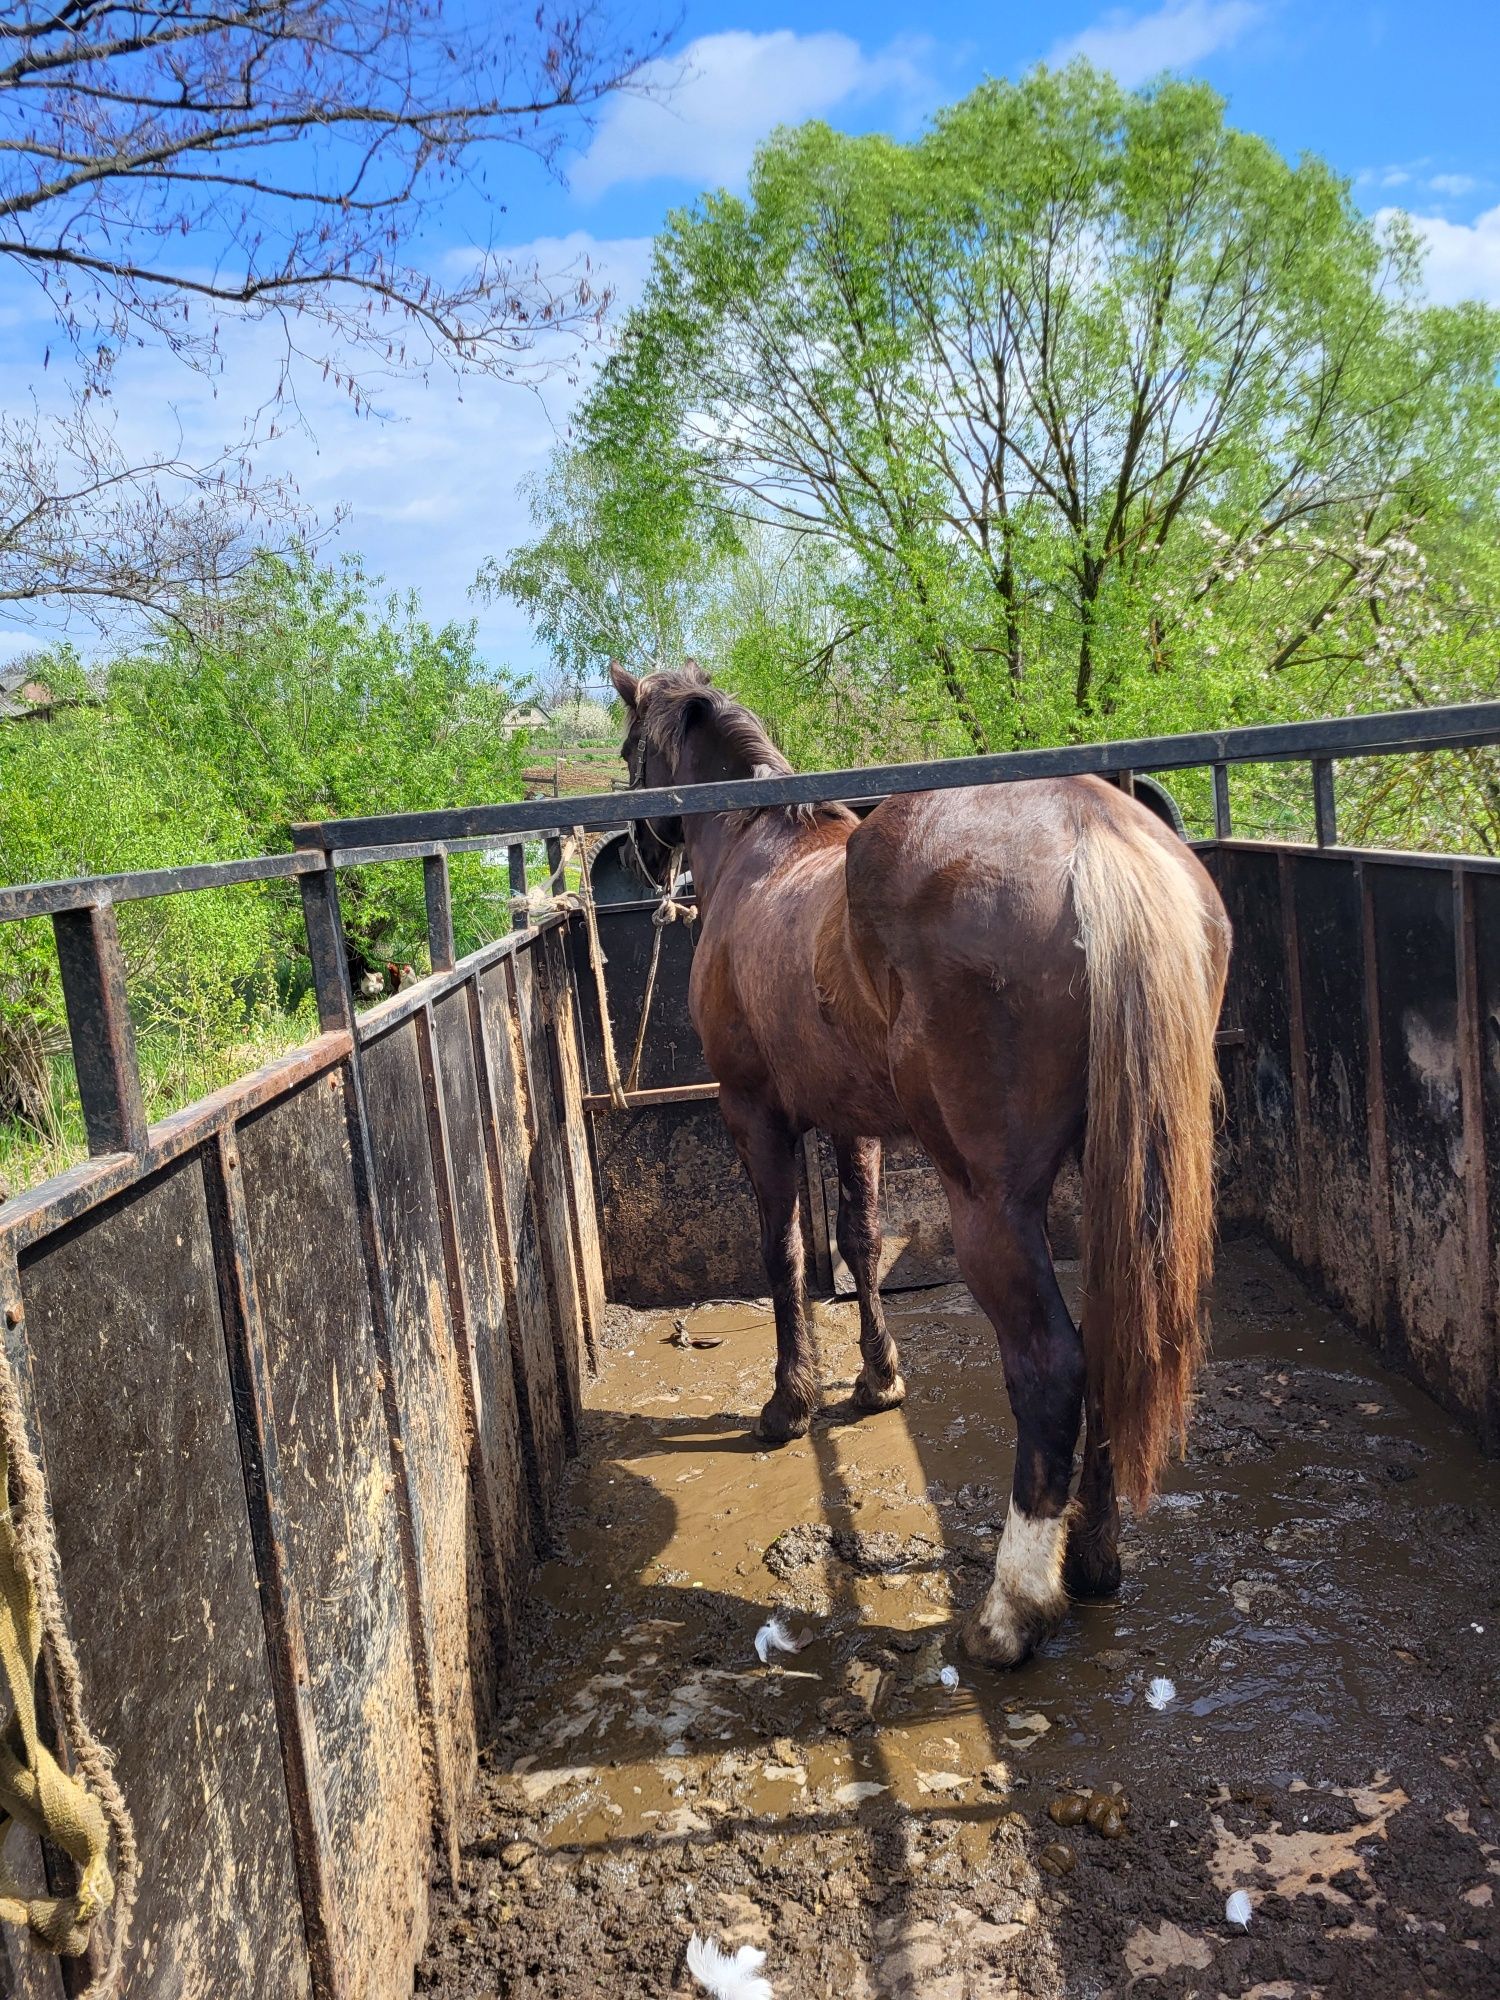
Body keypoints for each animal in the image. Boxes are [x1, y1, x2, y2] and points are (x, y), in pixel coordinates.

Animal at [612, 664, 1232, 1664]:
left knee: (1052, 1368)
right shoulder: (851, 1122)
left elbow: (784, 1255)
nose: (635, 850)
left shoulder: (757, 1117)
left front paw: (789, 1404)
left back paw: (1011, 1610)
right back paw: (1094, 1561)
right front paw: (877, 1378)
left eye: (633, 746)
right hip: (1113, 1187)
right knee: (1113, 1344)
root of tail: (1095, 836)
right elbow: (861, 1242)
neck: (758, 854)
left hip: (989, 1204)